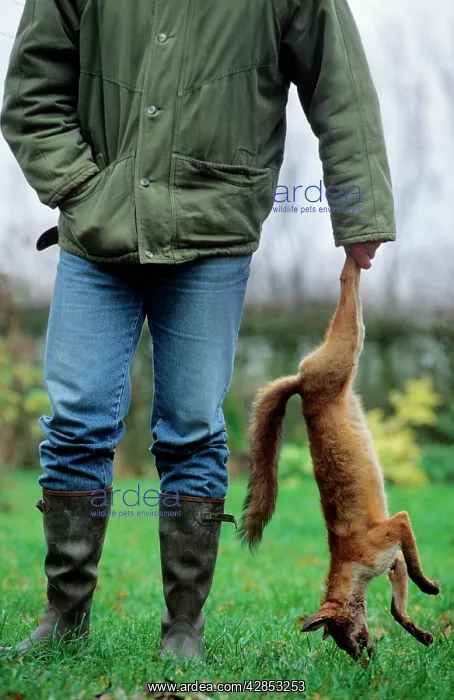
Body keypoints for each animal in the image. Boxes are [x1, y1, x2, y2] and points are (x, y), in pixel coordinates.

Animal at [239, 255, 440, 660]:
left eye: (341, 633)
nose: (362, 660)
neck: (350, 560)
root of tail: (300, 383)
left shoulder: (396, 526)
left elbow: (414, 567)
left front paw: (428, 586)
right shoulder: (391, 558)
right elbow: (396, 608)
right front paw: (421, 634)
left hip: (344, 351)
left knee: (346, 284)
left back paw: (353, 255)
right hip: (352, 347)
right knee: (354, 293)